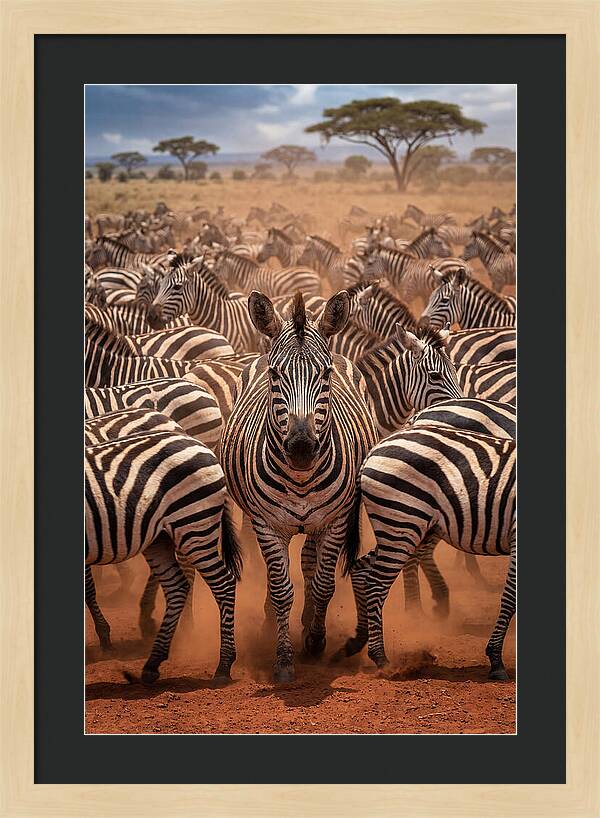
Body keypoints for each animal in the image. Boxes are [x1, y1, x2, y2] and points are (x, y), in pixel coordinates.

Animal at [86, 428, 242, 682]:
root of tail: (199, 443)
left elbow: (88, 589)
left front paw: (104, 637)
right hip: (160, 537)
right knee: (177, 586)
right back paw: (153, 662)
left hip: (193, 525)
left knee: (224, 583)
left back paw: (224, 666)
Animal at [221, 290, 378, 682]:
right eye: (276, 374)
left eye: (325, 374)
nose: (302, 448)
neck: (302, 478)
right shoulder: (266, 524)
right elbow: (280, 589)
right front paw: (283, 658)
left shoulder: (336, 521)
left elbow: (323, 583)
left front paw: (315, 640)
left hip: (321, 522)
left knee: (309, 560)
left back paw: (308, 622)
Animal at [343, 426, 515, 680]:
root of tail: (373, 450)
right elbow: (510, 597)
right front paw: (495, 660)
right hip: (402, 522)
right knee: (375, 583)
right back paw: (381, 659)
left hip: (399, 528)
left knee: (360, 570)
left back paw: (357, 640)